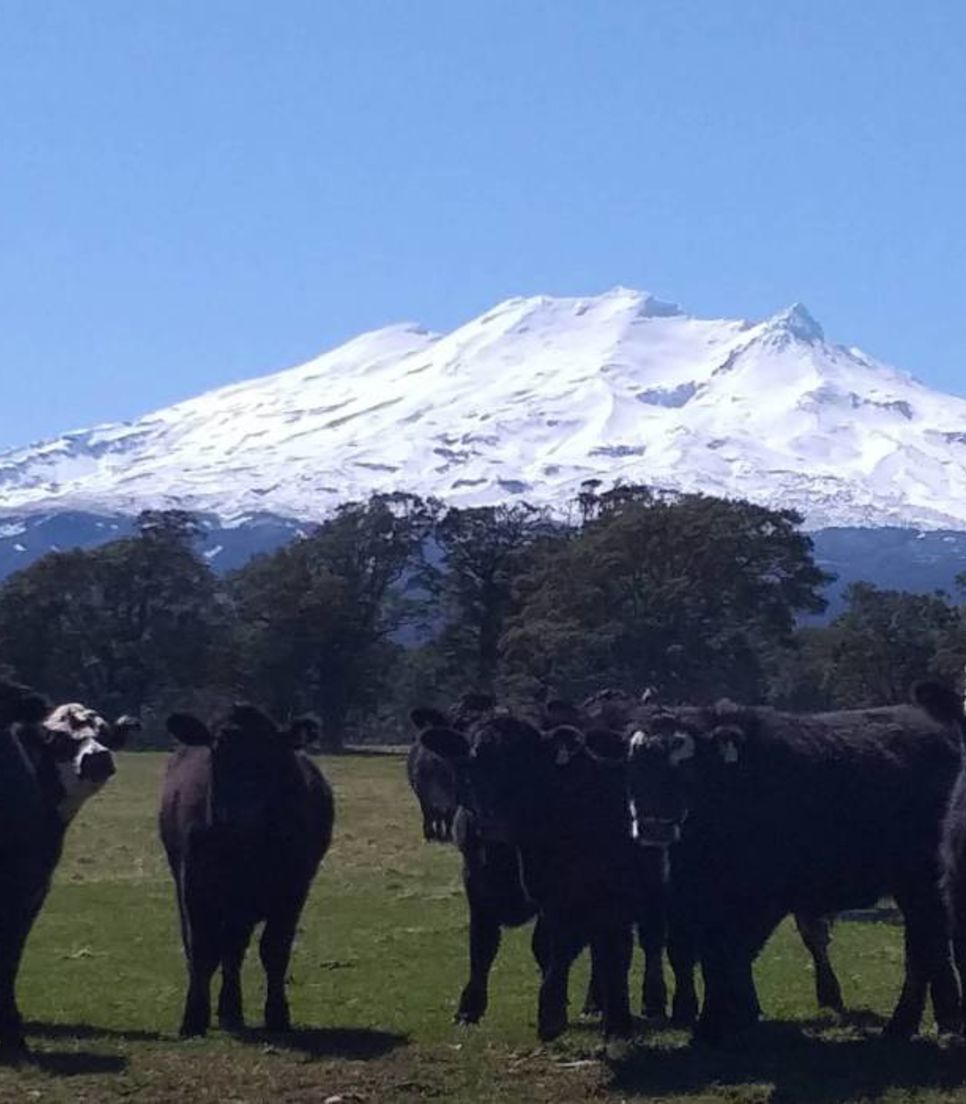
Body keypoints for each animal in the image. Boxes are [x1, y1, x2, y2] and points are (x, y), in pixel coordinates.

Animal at [160, 702, 333, 1037]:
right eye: (217, 752)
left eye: (270, 755)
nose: (239, 815)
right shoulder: (194, 885)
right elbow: (201, 948)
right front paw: (193, 1018)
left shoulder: (293, 888)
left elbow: (274, 950)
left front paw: (277, 1015)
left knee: (233, 948)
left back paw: (231, 1010)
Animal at [421, 710, 640, 1037]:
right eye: (474, 761)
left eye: (529, 766)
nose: (494, 823)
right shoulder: (477, 884)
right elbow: (482, 945)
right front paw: (468, 1009)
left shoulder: (564, 896)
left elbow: (550, 947)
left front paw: (553, 1012)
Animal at [622, 688, 962, 1042]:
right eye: (633, 764)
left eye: (686, 765)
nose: (653, 826)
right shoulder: (698, 899)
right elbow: (714, 956)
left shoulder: (763, 898)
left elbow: (735, 953)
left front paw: (723, 1021)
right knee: (931, 945)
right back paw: (941, 1019)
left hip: (921, 883)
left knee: (922, 948)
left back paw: (903, 1024)